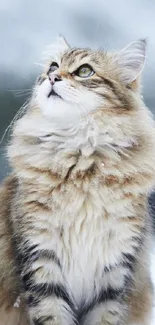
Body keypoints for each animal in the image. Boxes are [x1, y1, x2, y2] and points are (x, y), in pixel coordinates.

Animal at [0, 36, 155, 324]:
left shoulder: (114, 268)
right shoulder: (41, 258)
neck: (82, 165)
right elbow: (51, 315)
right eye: (53, 66)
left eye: (85, 71)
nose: (52, 77)